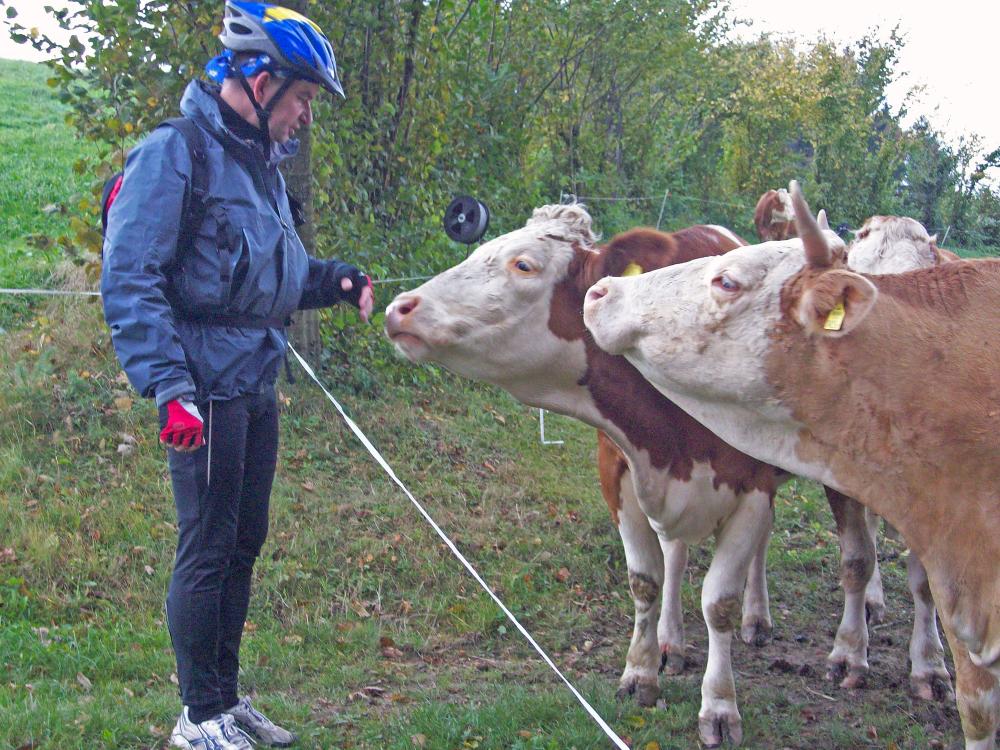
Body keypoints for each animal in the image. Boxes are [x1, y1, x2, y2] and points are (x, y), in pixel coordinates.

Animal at [382, 209, 944, 748]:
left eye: (523, 264)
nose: (399, 307)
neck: (665, 417)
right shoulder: (620, 476)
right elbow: (646, 580)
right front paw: (641, 671)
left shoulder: (752, 489)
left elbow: (719, 600)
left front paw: (719, 705)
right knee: (691, 551)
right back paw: (691, 636)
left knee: (852, 557)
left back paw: (859, 645)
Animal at [584, 184, 1000, 750]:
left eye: (726, 281)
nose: (601, 293)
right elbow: (855, 561)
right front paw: (850, 654)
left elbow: (918, 586)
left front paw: (927, 666)